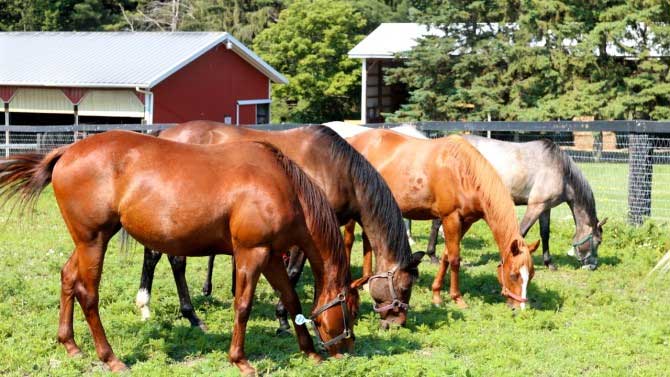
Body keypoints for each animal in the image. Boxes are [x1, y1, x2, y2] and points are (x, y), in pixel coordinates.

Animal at [0, 130, 362, 374]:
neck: (282, 185)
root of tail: (67, 151)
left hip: (88, 241)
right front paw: (240, 360)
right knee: (87, 293)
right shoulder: (252, 253)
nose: (347, 347)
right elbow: (243, 306)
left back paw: (71, 344)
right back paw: (110, 358)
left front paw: (310, 351)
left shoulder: (271, 256)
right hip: (93, 241)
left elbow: (291, 299)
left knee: (67, 278)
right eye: (351, 309)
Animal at [135, 121, 420, 332]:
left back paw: (148, 307)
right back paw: (189, 315)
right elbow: (293, 273)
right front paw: (284, 319)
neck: (334, 168)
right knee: (173, 261)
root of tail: (164, 133)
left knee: (156, 256)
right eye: (405, 287)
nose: (398, 322)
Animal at [346, 129, 540, 308]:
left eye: (531, 274)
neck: (463, 171)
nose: (520, 308)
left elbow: (446, 256)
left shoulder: (465, 222)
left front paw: (437, 295)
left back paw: (367, 281)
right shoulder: (450, 218)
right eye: (513, 275)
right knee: (349, 240)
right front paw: (457, 298)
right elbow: (454, 259)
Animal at [430, 134, 608, 268]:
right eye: (598, 241)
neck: (560, 170)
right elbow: (521, 232)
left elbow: (545, 233)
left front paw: (549, 263)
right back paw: (433, 256)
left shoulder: (545, 207)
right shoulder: (535, 206)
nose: (592, 266)